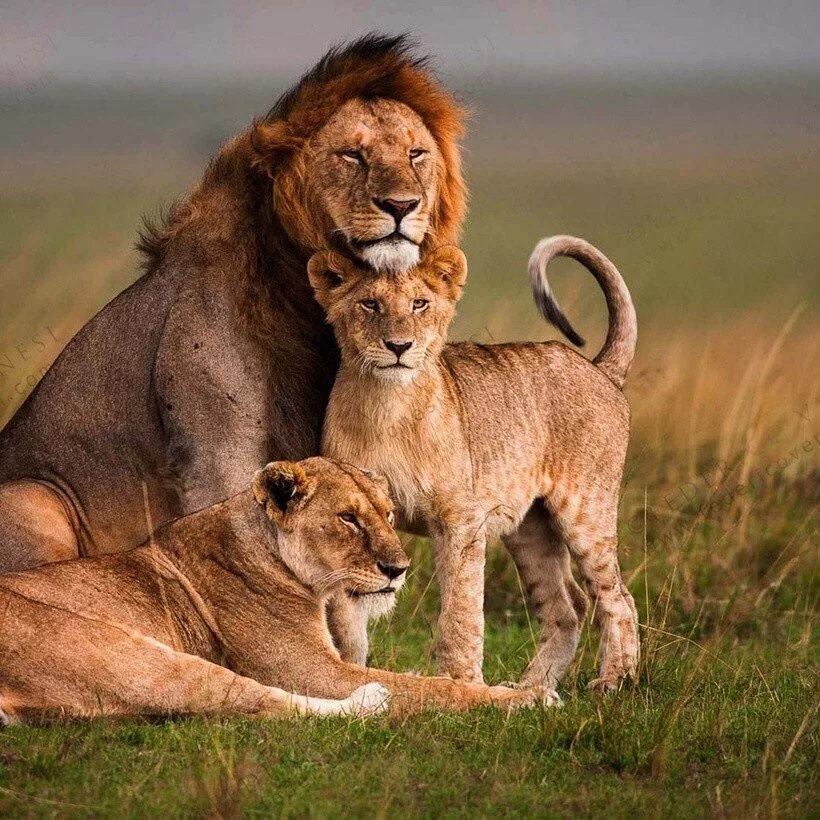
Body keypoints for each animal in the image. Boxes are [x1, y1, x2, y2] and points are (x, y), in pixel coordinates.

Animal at [0, 35, 468, 580]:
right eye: (352, 154)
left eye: (416, 154)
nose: (401, 205)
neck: (303, 297)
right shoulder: (219, 460)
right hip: (32, 498)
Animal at [1, 454, 544, 724]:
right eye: (348, 518)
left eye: (388, 514)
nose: (399, 569)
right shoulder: (313, 671)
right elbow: (432, 689)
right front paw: (523, 696)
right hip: (125, 654)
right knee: (260, 701)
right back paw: (374, 700)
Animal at [308, 237, 640, 692]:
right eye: (370, 304)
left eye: (419, 304)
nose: (398, 347)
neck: (387, 406)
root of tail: (598, 368)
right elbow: (346, 621)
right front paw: (350, 674)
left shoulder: (460, 520)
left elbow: (462, 611)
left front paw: (461, 681)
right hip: (530, 528)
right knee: (567, 606)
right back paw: (532, 688)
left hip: (586, 510)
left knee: (618, 598)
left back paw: (614, 681)